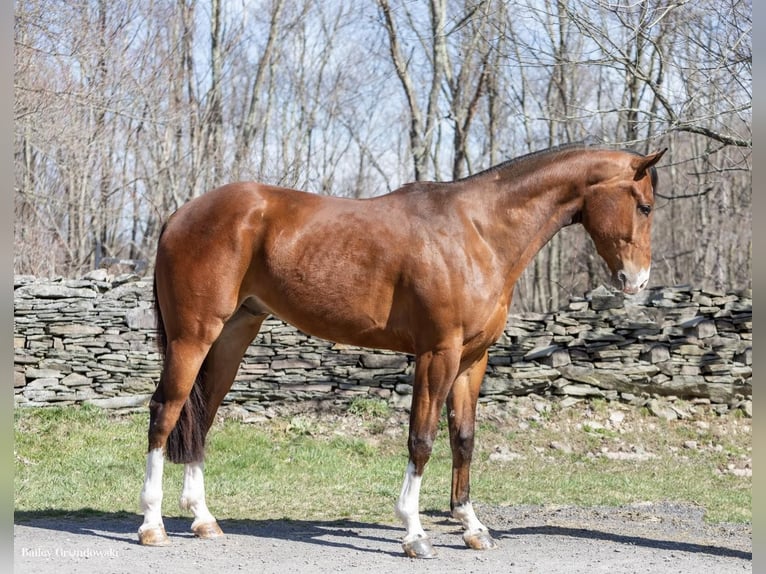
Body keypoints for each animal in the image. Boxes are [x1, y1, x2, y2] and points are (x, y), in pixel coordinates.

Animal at [136, 144, 664, 560]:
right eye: (644, 206)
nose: (636, 281)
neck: (479, 232)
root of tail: (180, 215)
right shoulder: (437, 354)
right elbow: (422, 439)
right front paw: (414, 533)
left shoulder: (473, 361)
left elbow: (463, 438)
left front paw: (472, 527)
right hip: (192, 338)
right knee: (165, 412)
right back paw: (152, 526)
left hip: (232, 336)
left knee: (200, 418)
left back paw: (204, 520)